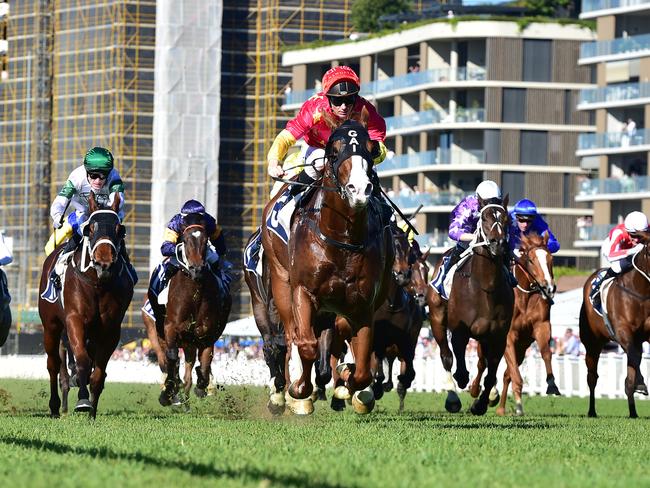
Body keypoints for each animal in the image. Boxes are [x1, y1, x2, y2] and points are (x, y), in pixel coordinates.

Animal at [155, 214, 230, 408]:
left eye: (205, 241)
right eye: (186, 240)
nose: (197, 269)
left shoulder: (206, 334)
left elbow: (205, 361)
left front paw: (202, 386)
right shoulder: (170, 328)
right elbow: (172, 357)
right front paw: (167, 392)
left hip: (191, 341)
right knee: (170, 359)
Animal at [260, 114, 392, 416]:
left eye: (370, 148)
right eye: (334, 151)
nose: (359, 189)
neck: (341, 238)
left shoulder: (363, 304)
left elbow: (362, 368)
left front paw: (351, 386)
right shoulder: (303, 291)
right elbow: (306, 344)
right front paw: (299, 391)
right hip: (281, 282)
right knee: (292, 335)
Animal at [426, 195, 512, 416]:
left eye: (506, 218)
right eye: (484, 218)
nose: (498, 243)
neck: (485, 287)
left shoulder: (498, 336)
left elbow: (491, 372)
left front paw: (480, 403)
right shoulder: (459, 330)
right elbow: (459, 364)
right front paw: (461, 383)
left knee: (483, 363)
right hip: (437, 318)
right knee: (446, 355)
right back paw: (453, 397)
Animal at [466, 233, 556, 416]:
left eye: (551, 259)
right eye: (531, 260)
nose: (548, 288)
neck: (525, 298)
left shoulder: (541, 327)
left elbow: (545, 353)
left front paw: (551, 384)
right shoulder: (508, 336)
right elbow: (515, 375)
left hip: (521, 347)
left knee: (505, 373)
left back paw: (501, 406)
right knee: (483, 363)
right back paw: (478, 390)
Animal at [576, 231, 648, 418]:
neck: (640, 293)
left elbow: (633, 364)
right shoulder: (624, 332)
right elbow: (634, 359)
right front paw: (641, 383)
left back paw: (633, 412)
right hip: (592, 344)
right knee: (592, 377)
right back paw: (592, 411)